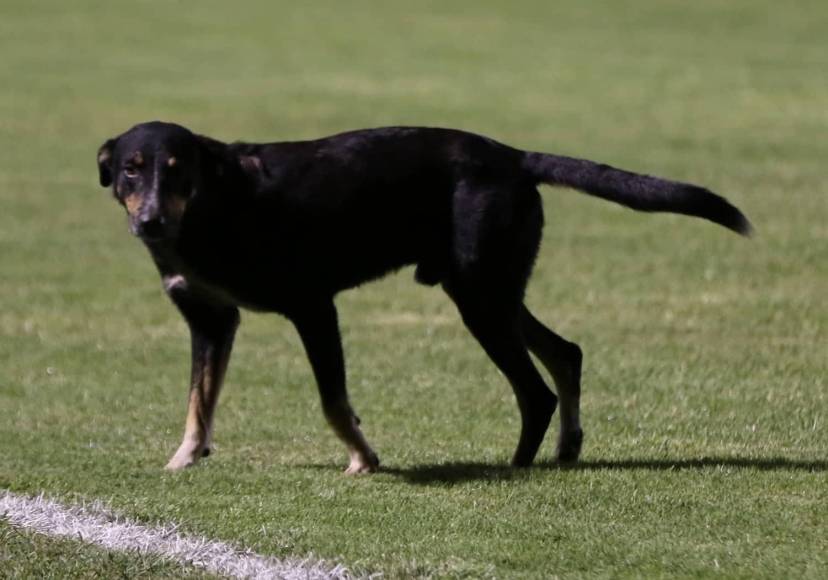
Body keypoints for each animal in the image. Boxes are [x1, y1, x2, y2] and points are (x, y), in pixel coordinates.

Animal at [97, 121, 752, 472]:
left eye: (177, 169)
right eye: (131, 169)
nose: (150, 221)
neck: (212, 208)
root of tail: (514, 156)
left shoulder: (313, 305)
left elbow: (333, 402)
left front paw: (364, 460)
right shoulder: (211, 320)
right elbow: (199, 399)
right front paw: (185, 458)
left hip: (480, 295)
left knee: (535, 389)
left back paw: (518, 467)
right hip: (490, 287)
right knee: (566, 354)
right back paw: (566, 448)